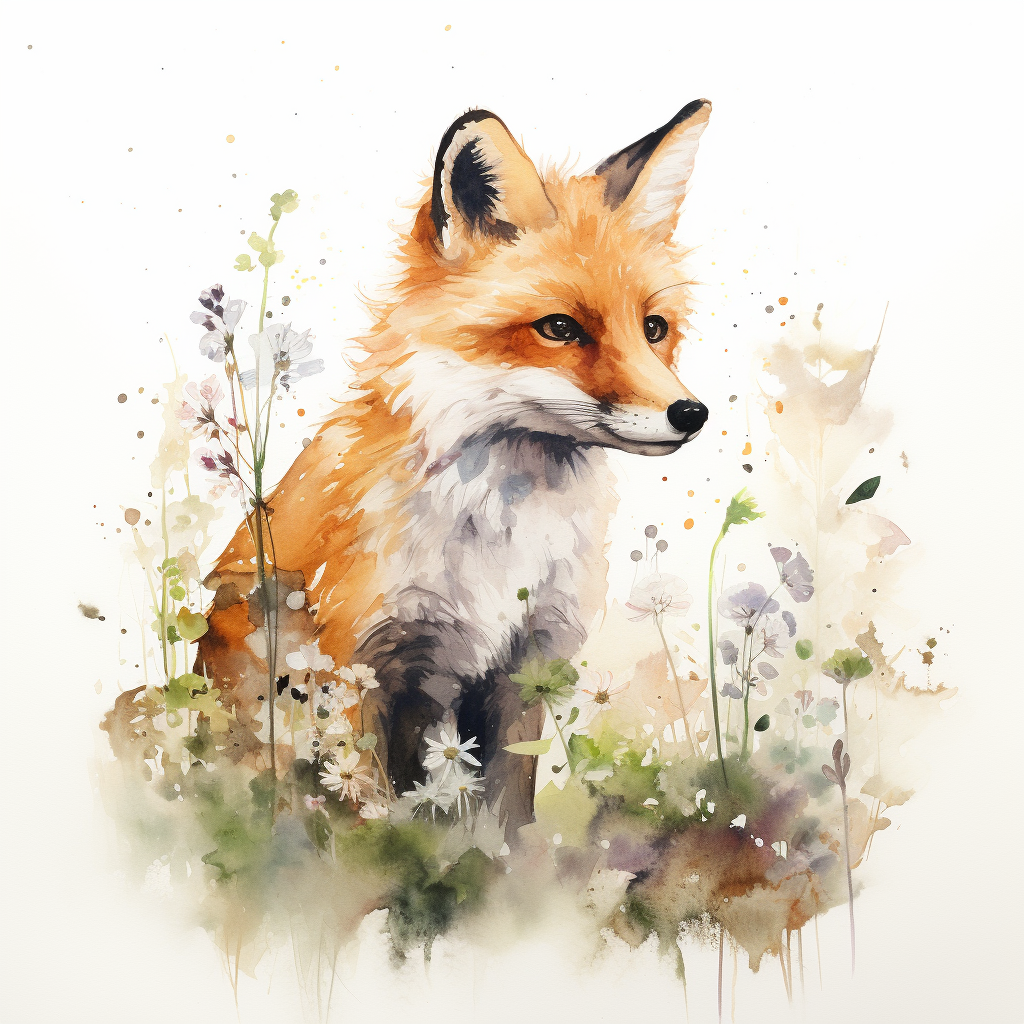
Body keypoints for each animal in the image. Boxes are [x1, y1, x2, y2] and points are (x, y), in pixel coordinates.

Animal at [197, 99, 713, 836]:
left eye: (653, 329)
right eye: (560, 329)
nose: (691, 413)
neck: (502, 531)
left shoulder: (523, 667)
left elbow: (510, 816)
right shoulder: (363, 664)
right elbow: (369, 816)